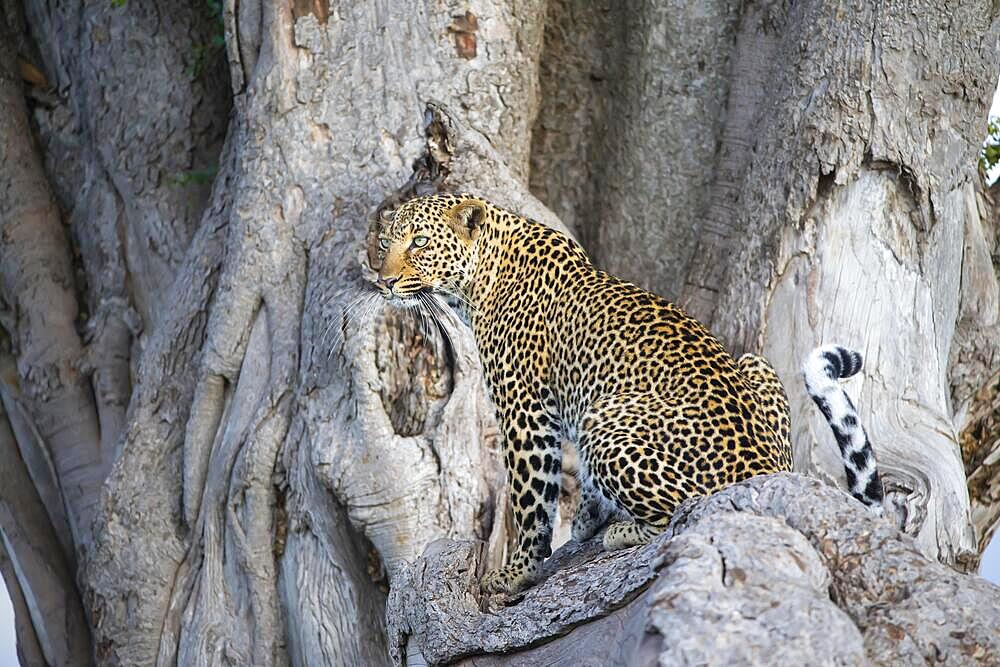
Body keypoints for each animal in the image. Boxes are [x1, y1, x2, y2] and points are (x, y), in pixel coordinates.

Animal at [372, 193, 888, 596]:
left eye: (420, 243)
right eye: (385, 242)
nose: (384, 281)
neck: (478, 279)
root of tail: (766, 470)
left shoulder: (525, 412)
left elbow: (531, 499)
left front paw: (516, 574)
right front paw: (584, 520)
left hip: (606, 423)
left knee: (686, 508)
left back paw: (623, 531)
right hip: (753, 363)